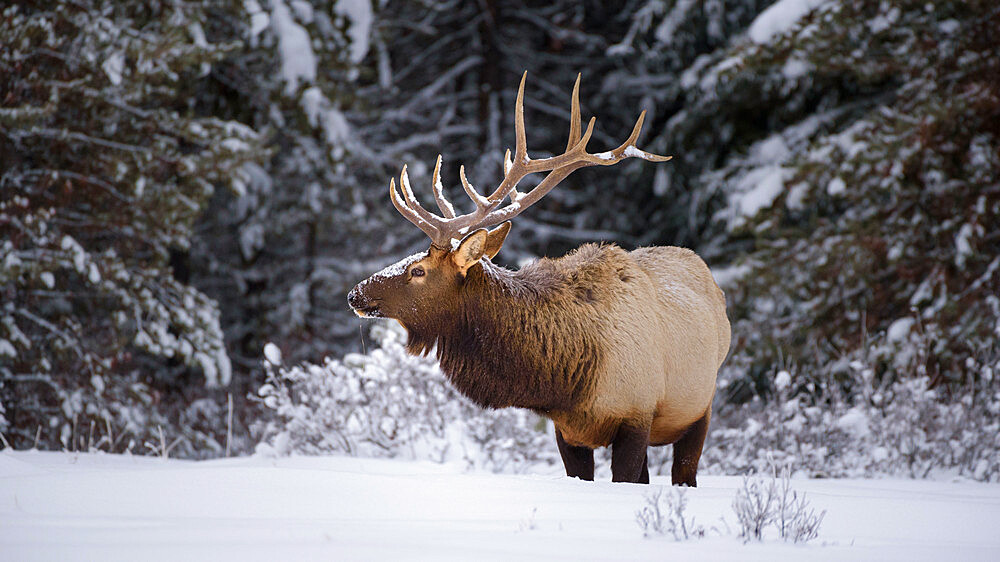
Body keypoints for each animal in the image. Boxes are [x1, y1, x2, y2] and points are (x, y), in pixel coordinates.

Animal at [348, 72, 732, 484]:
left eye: (418, 271)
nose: (355, 294)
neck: (566, 383)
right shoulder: (567, 432)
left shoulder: (636, 414)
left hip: (700, 406)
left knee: (686, 469)